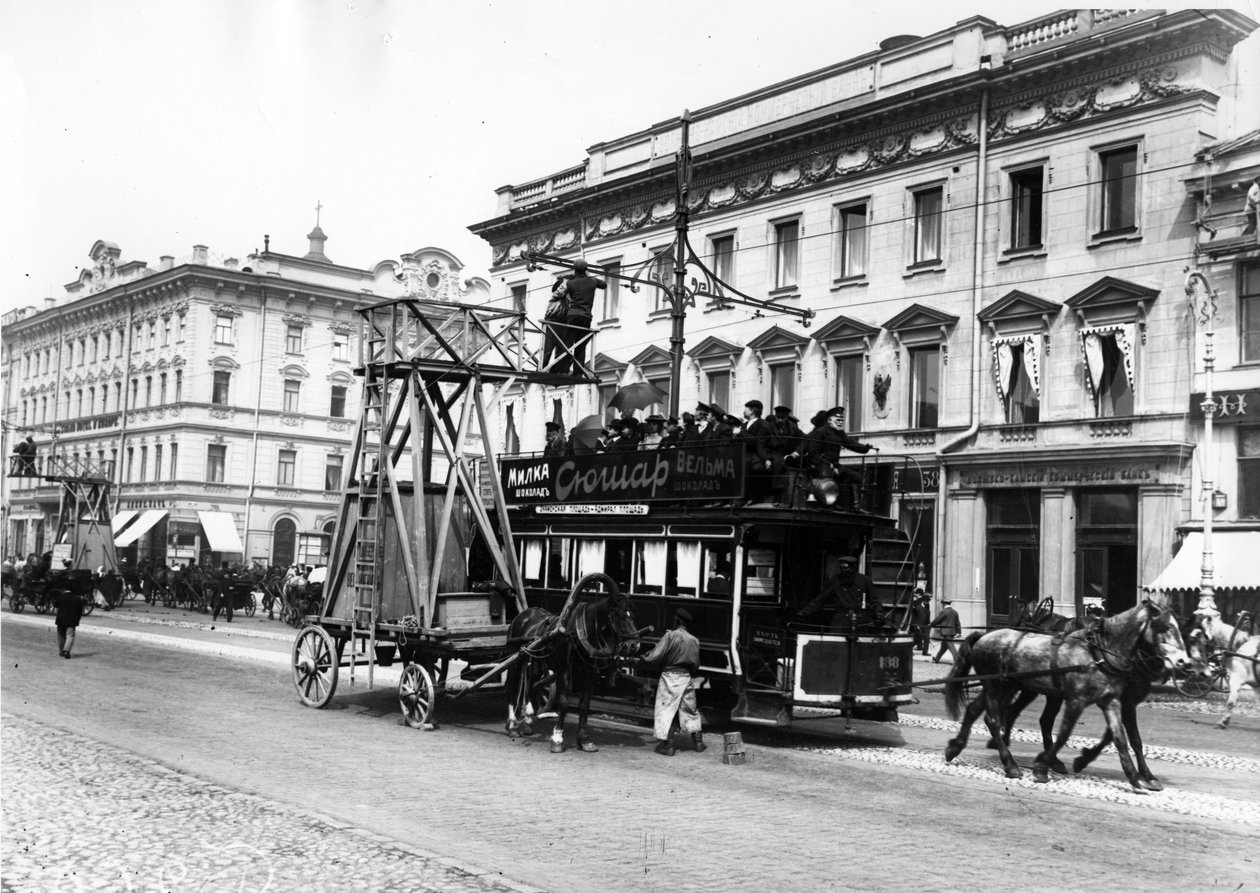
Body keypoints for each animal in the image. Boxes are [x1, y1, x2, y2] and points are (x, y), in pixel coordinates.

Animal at [947, 602, 1189, 790]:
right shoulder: (1079, 701)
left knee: (977, 711)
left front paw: (1135, 777)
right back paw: (1010, 764)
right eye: (1166, 627)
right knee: (994, 719)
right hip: (1000, 686)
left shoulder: (1112, 701)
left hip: (1005, 686)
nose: (1184, 663)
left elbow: (1119, 737)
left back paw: (955, 747)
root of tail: (983, 636)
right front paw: (1042, 768)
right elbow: (1066, 734)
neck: (1099, 653)